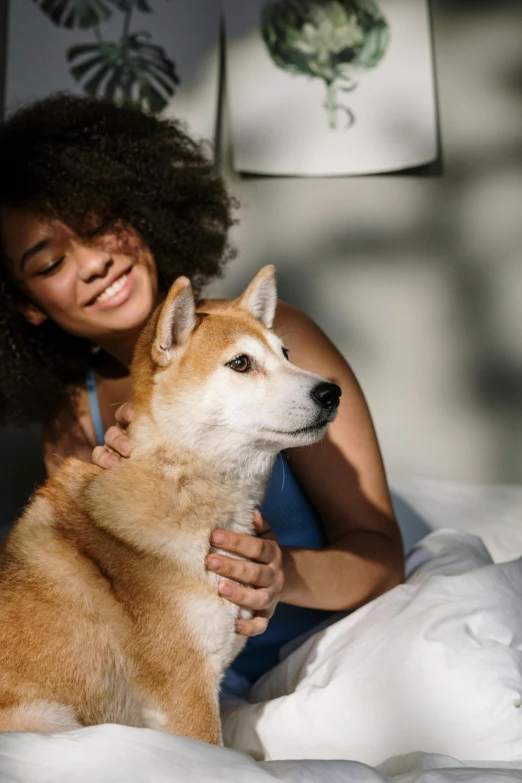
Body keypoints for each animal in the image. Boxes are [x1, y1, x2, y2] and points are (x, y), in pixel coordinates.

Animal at [0, 266, 340, 744]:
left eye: (287, 353)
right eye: (240, 363)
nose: (332, 392)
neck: (179, 486)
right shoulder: (186, 692)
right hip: (51, 719)